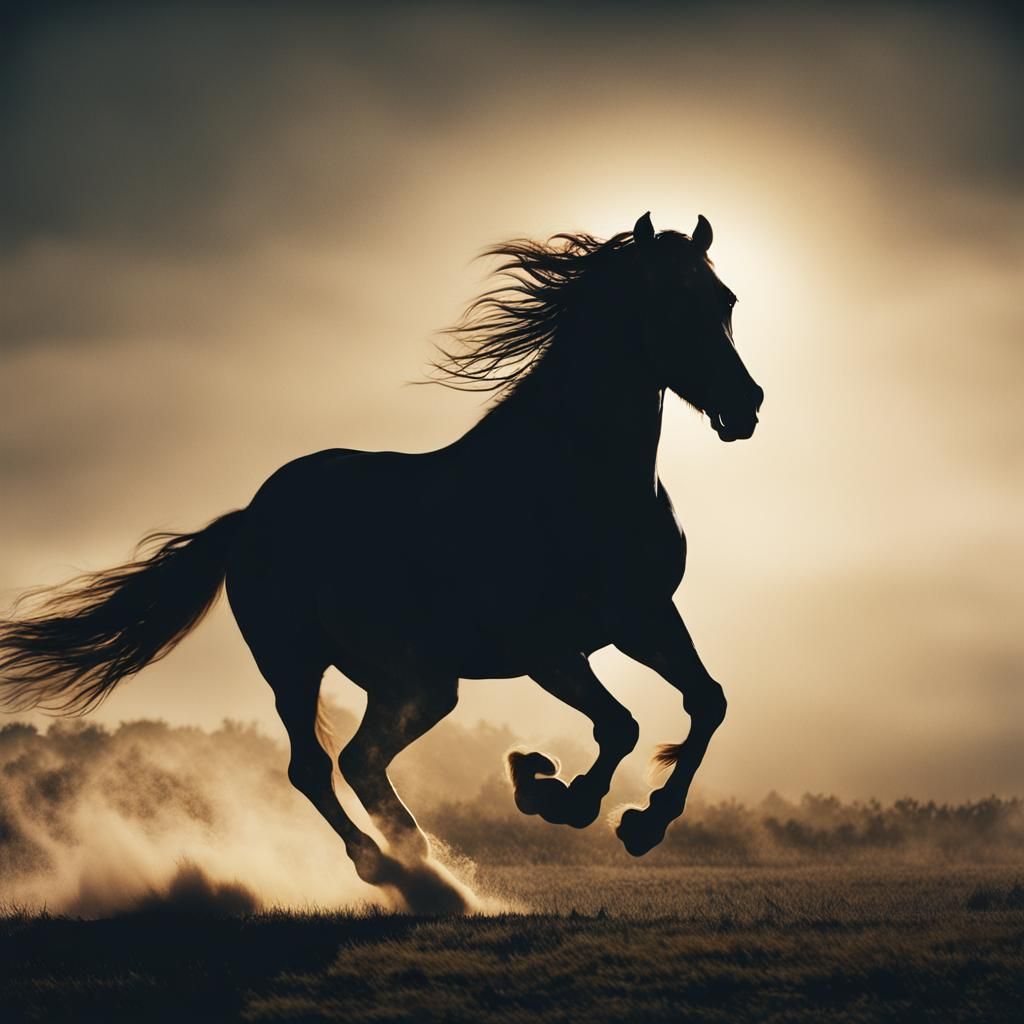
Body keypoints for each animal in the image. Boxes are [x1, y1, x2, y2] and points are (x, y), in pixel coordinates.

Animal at [0, 212, 763, 912]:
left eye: (724, 299)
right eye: (670, 304)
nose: (746, 406)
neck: (574, 478)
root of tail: (250, 518)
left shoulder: (643, 619)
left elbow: (708, 701)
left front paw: (637, 821)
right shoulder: (545, 648)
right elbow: (620, 724)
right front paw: (556, 795)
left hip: (417, 683)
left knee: (360, 760)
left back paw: (420, 862)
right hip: (300, 664)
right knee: (315, 766)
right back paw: (396, 869)